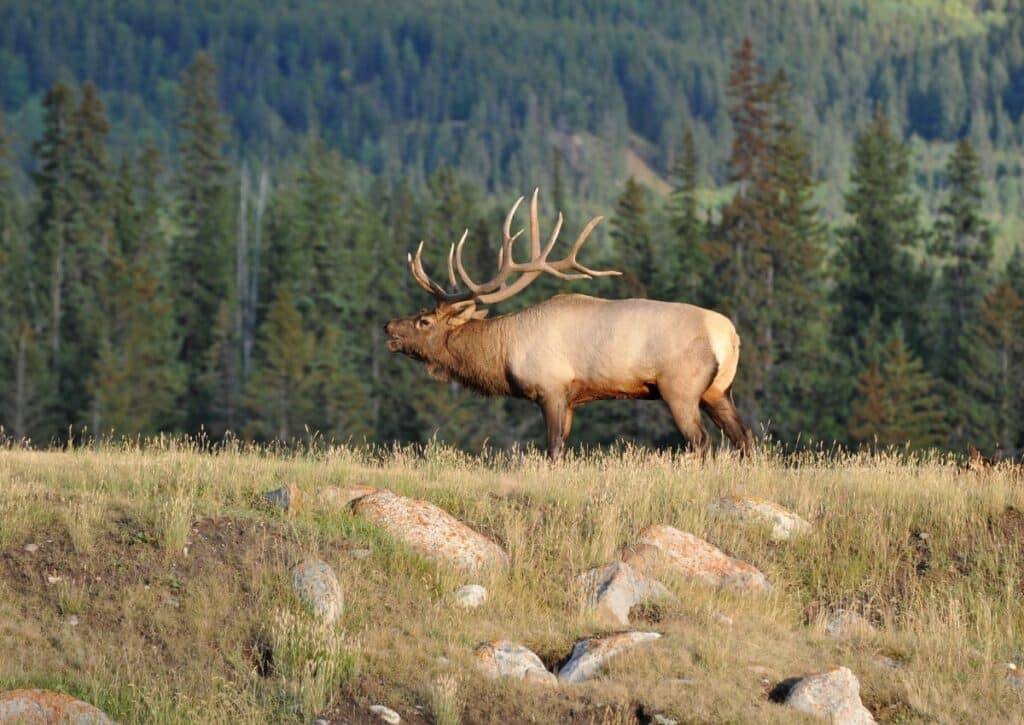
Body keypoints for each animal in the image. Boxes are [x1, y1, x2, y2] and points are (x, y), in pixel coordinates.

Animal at [385, 188, 753, 458]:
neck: (504, 355)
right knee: (745, 436)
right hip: (718, 390)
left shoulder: (551, 388)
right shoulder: (573, 398)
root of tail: (730, 336)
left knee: (702, 441)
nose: (388, 326)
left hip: (681, 387)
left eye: (423, 321)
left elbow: (553, 448)